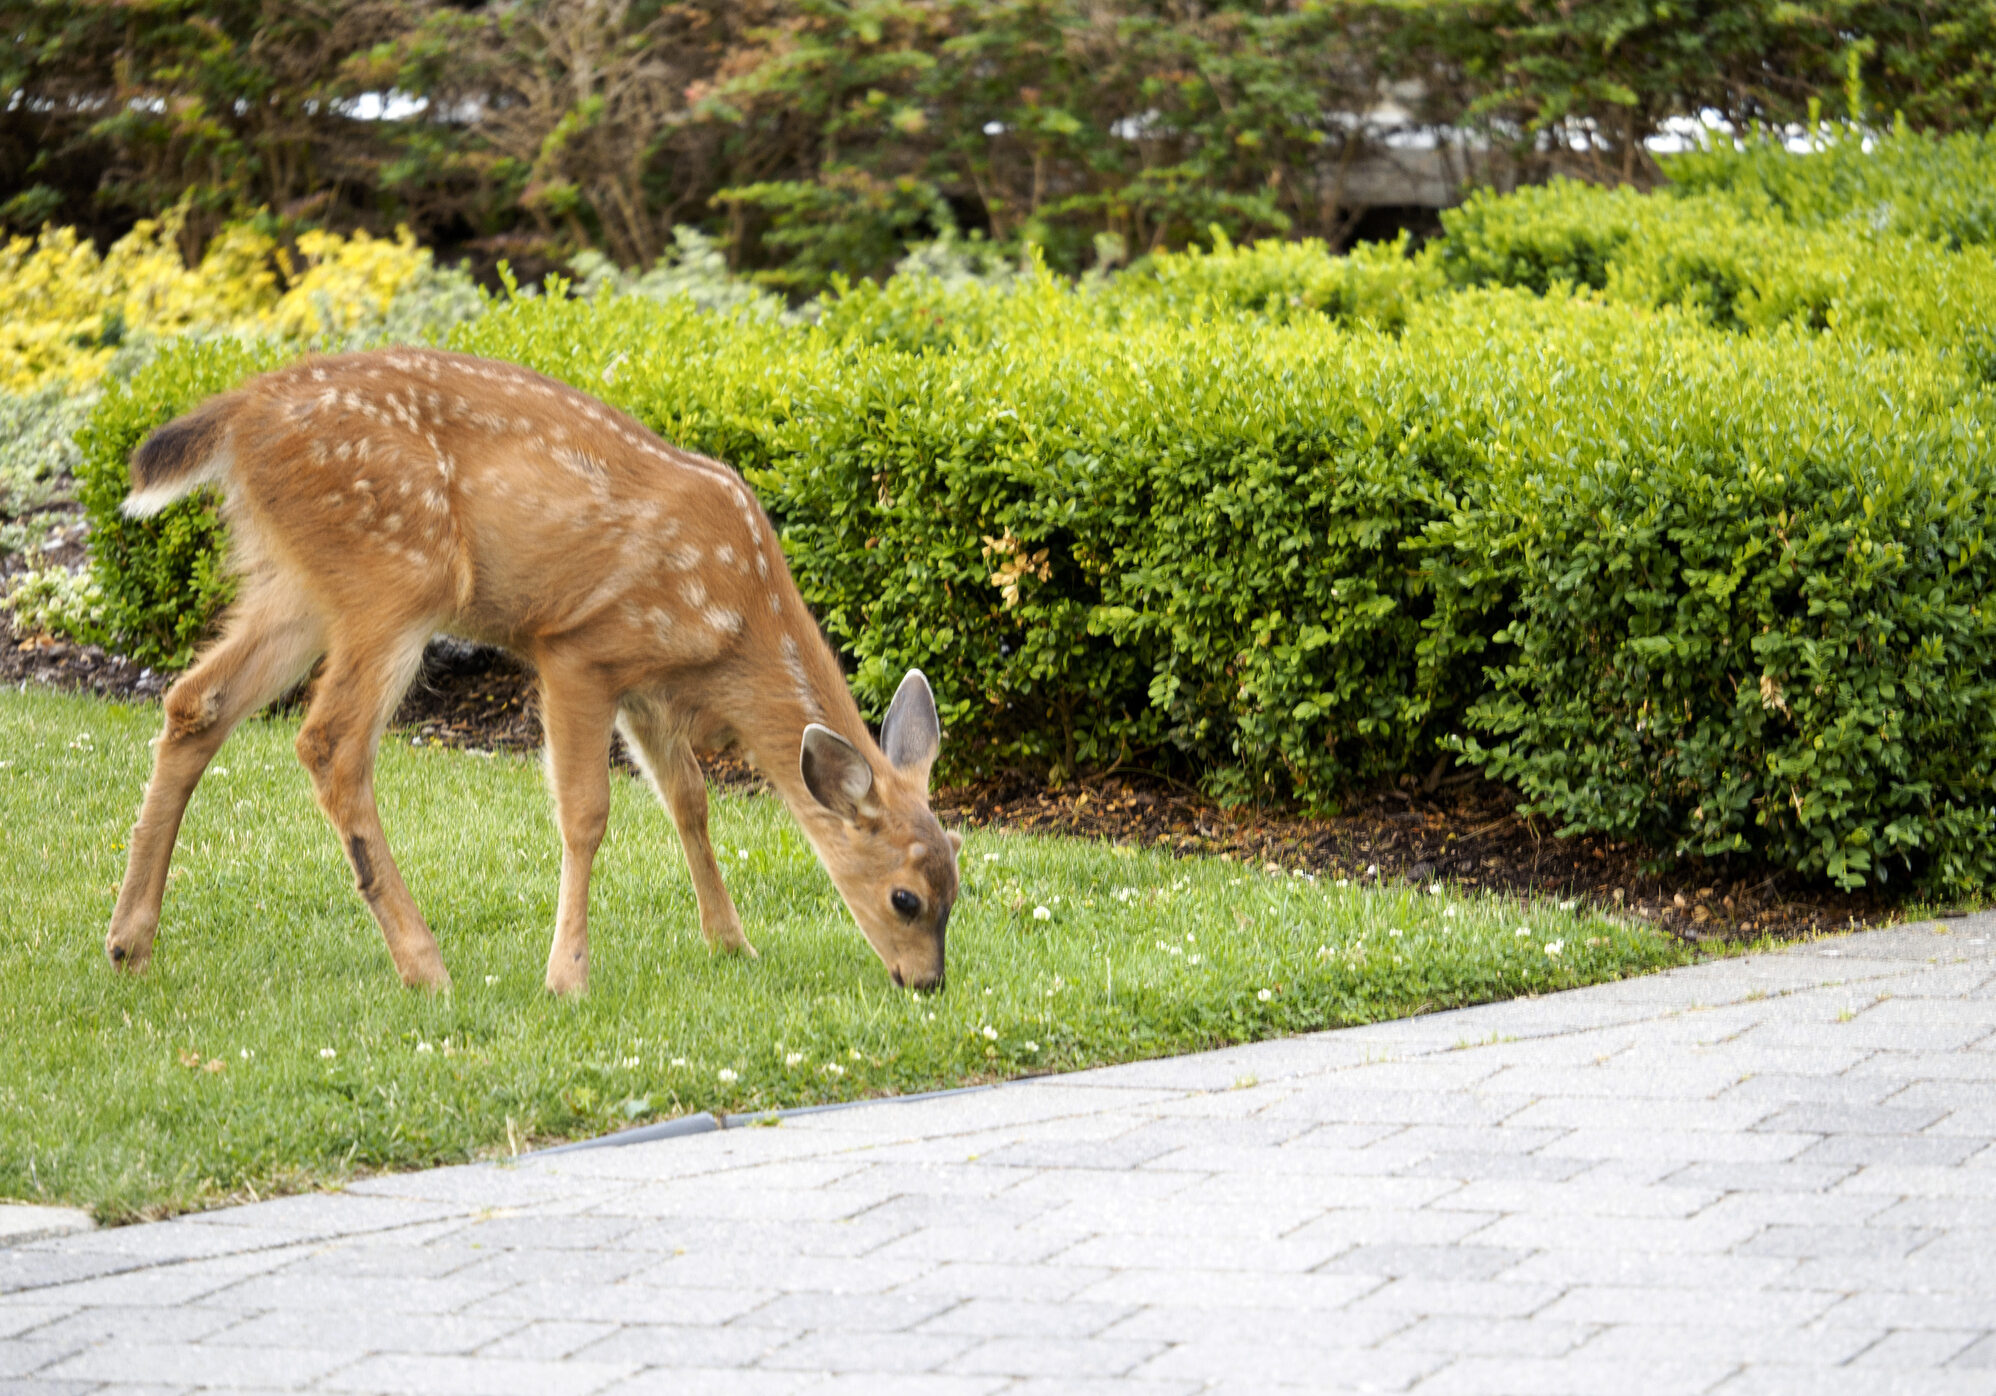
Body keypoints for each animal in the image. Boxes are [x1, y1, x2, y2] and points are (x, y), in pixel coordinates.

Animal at [103, 347, 958, 994]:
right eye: (907, 899)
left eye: (958, 884)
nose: (926, 983)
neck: (735, 625)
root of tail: (237, 413)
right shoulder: (580, 648)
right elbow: (586, 812)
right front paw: (567, 976)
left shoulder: (646, 688)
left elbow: (689, 800)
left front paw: (731, 944)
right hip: (395, 574)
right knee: (329, 743)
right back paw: (424, 965)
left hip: (298, 582)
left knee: (195, 701)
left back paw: (127, 942)